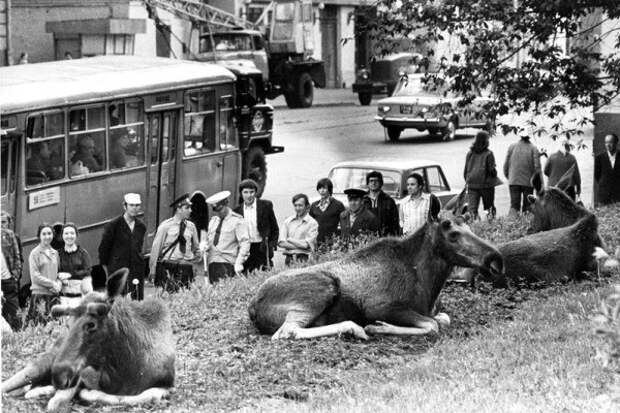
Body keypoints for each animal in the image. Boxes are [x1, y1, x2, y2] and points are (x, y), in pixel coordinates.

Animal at [0, 268, 174, 410]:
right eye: (69, 322)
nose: (58, 375)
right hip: (42, 365)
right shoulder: (81, 377)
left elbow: (141, 396)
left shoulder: (167, 384)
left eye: (91, 324)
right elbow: (89, 394)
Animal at [247, 217, 504, 340]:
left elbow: (443, 319)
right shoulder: (380, 307)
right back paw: (354, 328)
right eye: (453, 234)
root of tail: (252, 308)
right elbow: (432, 325)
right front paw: (378, 327)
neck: (428, 282)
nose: (495, 259)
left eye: (470, 228)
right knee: (287, 331)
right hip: (322, 287)